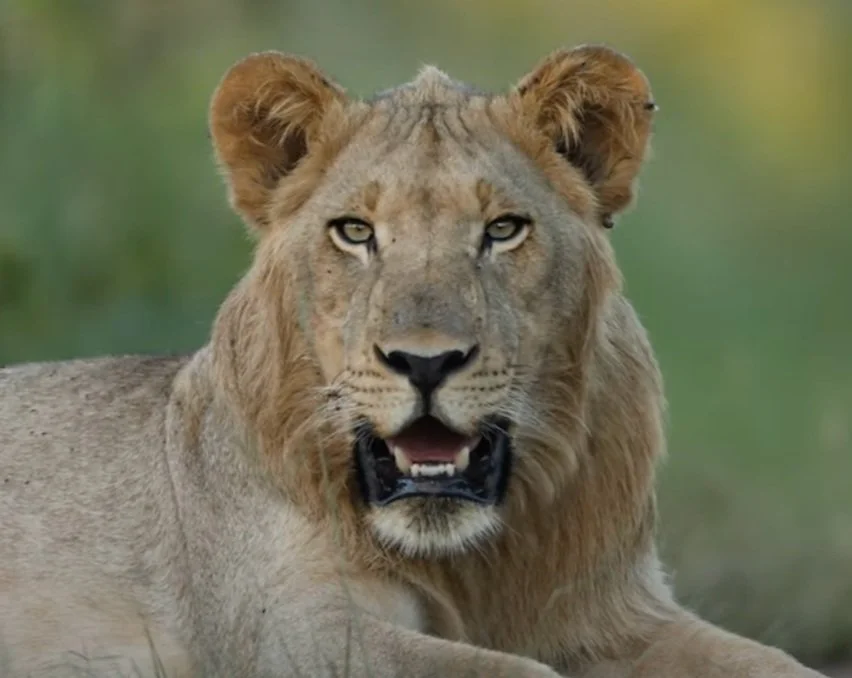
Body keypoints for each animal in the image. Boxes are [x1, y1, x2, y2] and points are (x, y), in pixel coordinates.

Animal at [0, 45, 824, 678]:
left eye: (503, 229)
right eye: (356, 231)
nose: (425, 363)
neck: (475, 563)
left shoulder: (615, 612)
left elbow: (776, 663)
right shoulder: (285, 631)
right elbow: (516, 672)